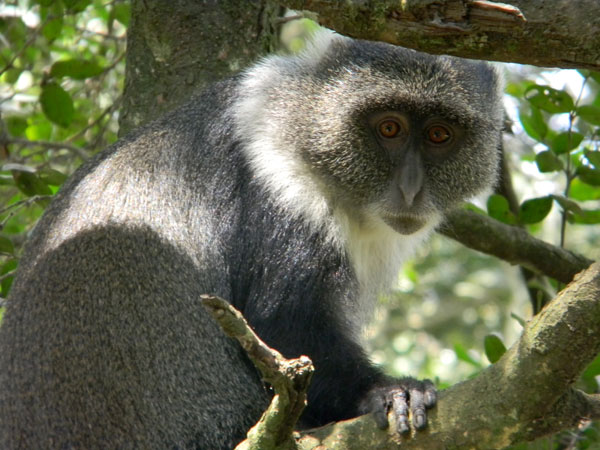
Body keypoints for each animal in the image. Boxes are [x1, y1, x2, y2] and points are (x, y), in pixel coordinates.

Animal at [0, 29, 504, 448]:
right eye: (390, 128)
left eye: (439, 135)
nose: (411, 189)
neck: (303, 131)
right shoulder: (277, 190)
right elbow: (285, 325)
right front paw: (386, 391)